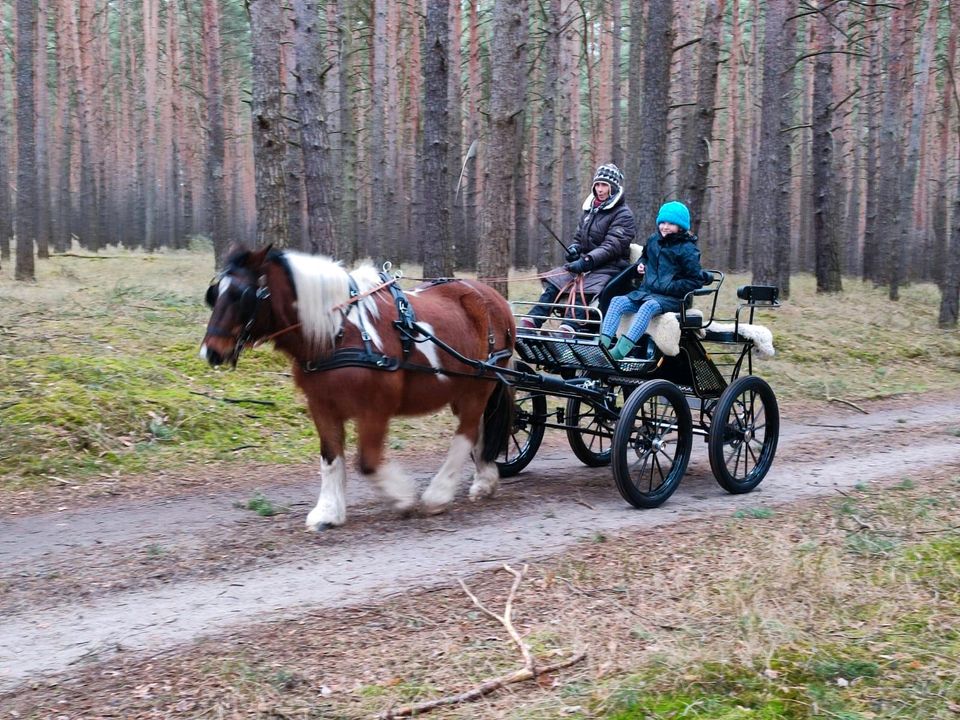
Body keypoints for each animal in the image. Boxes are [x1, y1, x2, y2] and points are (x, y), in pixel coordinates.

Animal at [200, 245, 516, 532]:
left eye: (243, 295)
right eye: (215, 294)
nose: (211, 352)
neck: (338, 332)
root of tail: (494, 298)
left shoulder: (375, 409)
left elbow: (367, 462)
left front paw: (402, 496)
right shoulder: (321, 406)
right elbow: (330, 458)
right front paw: (328, 512)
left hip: (479, 387)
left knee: (466, 434)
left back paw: (438, 494)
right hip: (463, 391)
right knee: (480, 430)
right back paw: (484, 480)